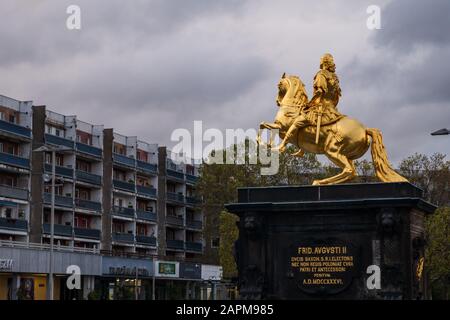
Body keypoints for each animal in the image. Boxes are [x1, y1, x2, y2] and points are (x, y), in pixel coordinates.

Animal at [256, 73, 408, 185]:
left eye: (279, 85)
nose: (277, 101)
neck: (293, 106)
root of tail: (365, 130)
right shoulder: (279, 128)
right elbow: (264, 127)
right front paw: (268, 145)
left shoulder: (282, 127)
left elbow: (264, 126)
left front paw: (272, 146)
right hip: (345, 154)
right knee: (351, 172)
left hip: (332, 150)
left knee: (348, 170)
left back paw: (319, 182)